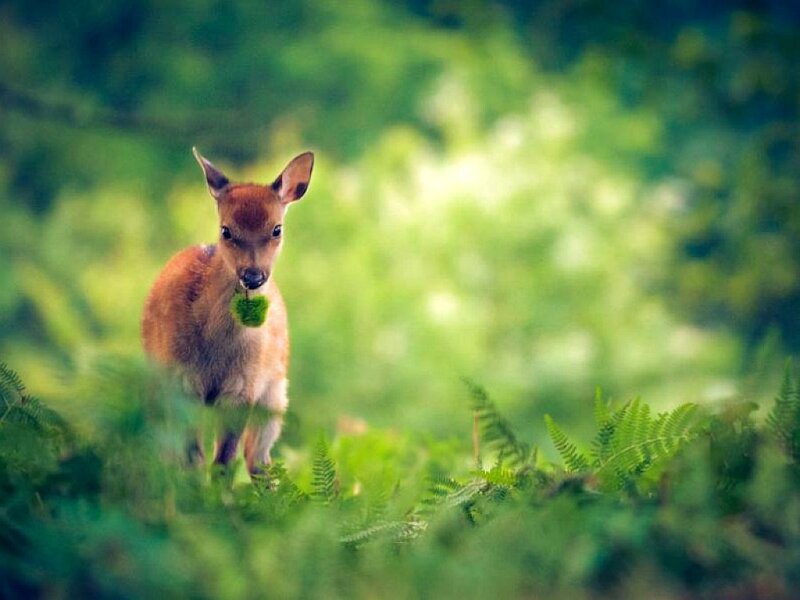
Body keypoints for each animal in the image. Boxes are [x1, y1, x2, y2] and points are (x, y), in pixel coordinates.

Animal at [141, 148, 314, 476]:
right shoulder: (181, 380)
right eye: (226, 230)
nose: (253, 275)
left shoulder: (245, 386)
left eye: (277, 229)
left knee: (258, 459)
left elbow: (224, 460)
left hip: (274, 396)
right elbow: (193, 458)